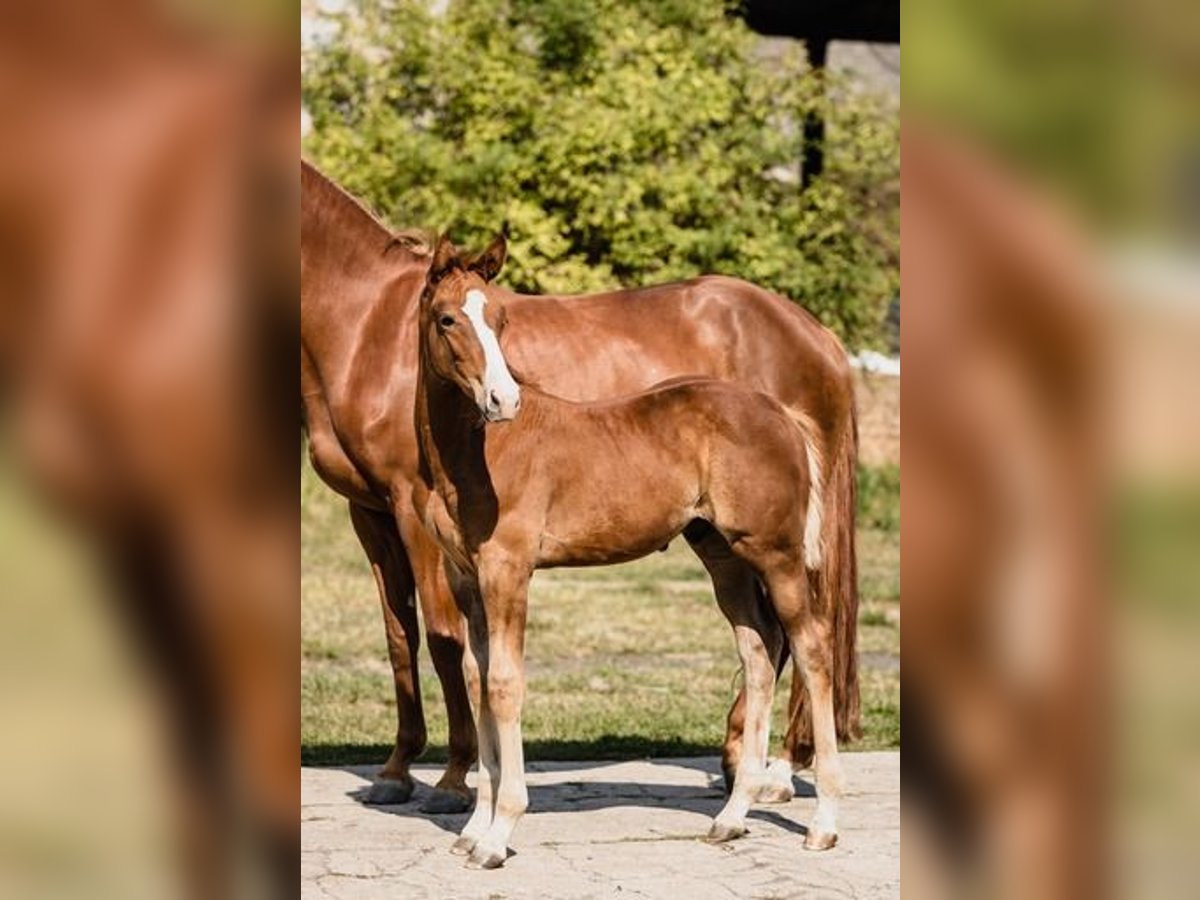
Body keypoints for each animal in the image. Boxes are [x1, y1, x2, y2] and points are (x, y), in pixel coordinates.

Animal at [412, 236, 844, 868]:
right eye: (448, 318)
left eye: (501, 318)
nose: (502, 399)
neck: (476, 452)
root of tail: (781, 413)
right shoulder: (466, 576)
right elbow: (476, 677)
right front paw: (473, 827)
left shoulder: (508, 571)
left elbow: (504, 684)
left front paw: (497, 835)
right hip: (724, 557)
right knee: (760, 650)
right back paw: (731, 817)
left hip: (777, 553)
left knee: (811, 647)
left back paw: (824, 822)